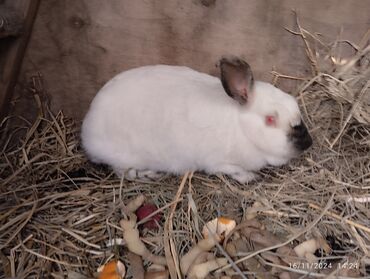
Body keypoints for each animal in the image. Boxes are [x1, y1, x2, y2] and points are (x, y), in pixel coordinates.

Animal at [81, 56, 312, 184]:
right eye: (270, 119)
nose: (308, 143)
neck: (241, 128)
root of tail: (87, 129)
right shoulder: (218, 163)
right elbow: (233, 170)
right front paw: (249, 177)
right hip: (125, 156)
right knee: (123, 172)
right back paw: (149, 174)